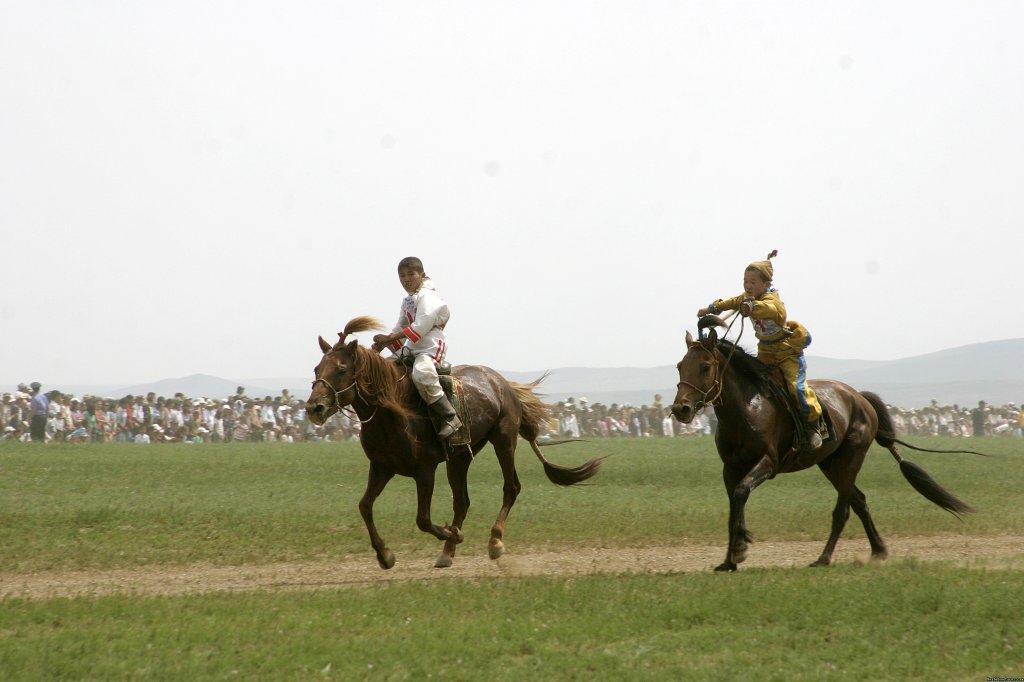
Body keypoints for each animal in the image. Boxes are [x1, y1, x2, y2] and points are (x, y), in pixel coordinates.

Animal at [307, 315, 602, 565]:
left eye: (341, 369)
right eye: (317, 368)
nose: (314, 408)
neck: (392, 412)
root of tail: (502, 382)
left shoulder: (424, 470)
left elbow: (423, 519)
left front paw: (454, 534)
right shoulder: (382, 467)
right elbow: (365, 506)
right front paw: (385, 554)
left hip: (504, 441)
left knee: (511, 487)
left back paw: (494, 541)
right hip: (459, 458)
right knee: (462, 501)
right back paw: (447, 553)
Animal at [671, 315, 974, 569]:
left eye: (705, 366)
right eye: (680, 366)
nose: (680, 409)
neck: (747, 409)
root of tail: (860, 398)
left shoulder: (767, 463)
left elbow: (741, 492)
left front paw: (739, 551)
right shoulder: (731, 467)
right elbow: (734, 504)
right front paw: (730, 558)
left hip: (850, 459)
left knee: (843, 511)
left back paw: (824, 558)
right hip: (831, 465)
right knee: (859, 501)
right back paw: (878, 550)